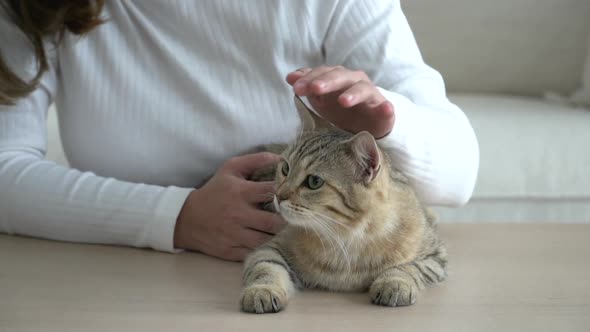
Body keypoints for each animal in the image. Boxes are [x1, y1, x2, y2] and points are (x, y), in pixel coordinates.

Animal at [240, 96, 448, 314]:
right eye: (285, 168)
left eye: (314, 181)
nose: (278, 196)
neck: (347, 238)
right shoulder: (271, 247)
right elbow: (266, 267)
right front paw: (262, 289)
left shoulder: (435, 256)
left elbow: (408, 267)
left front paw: (395, 282)